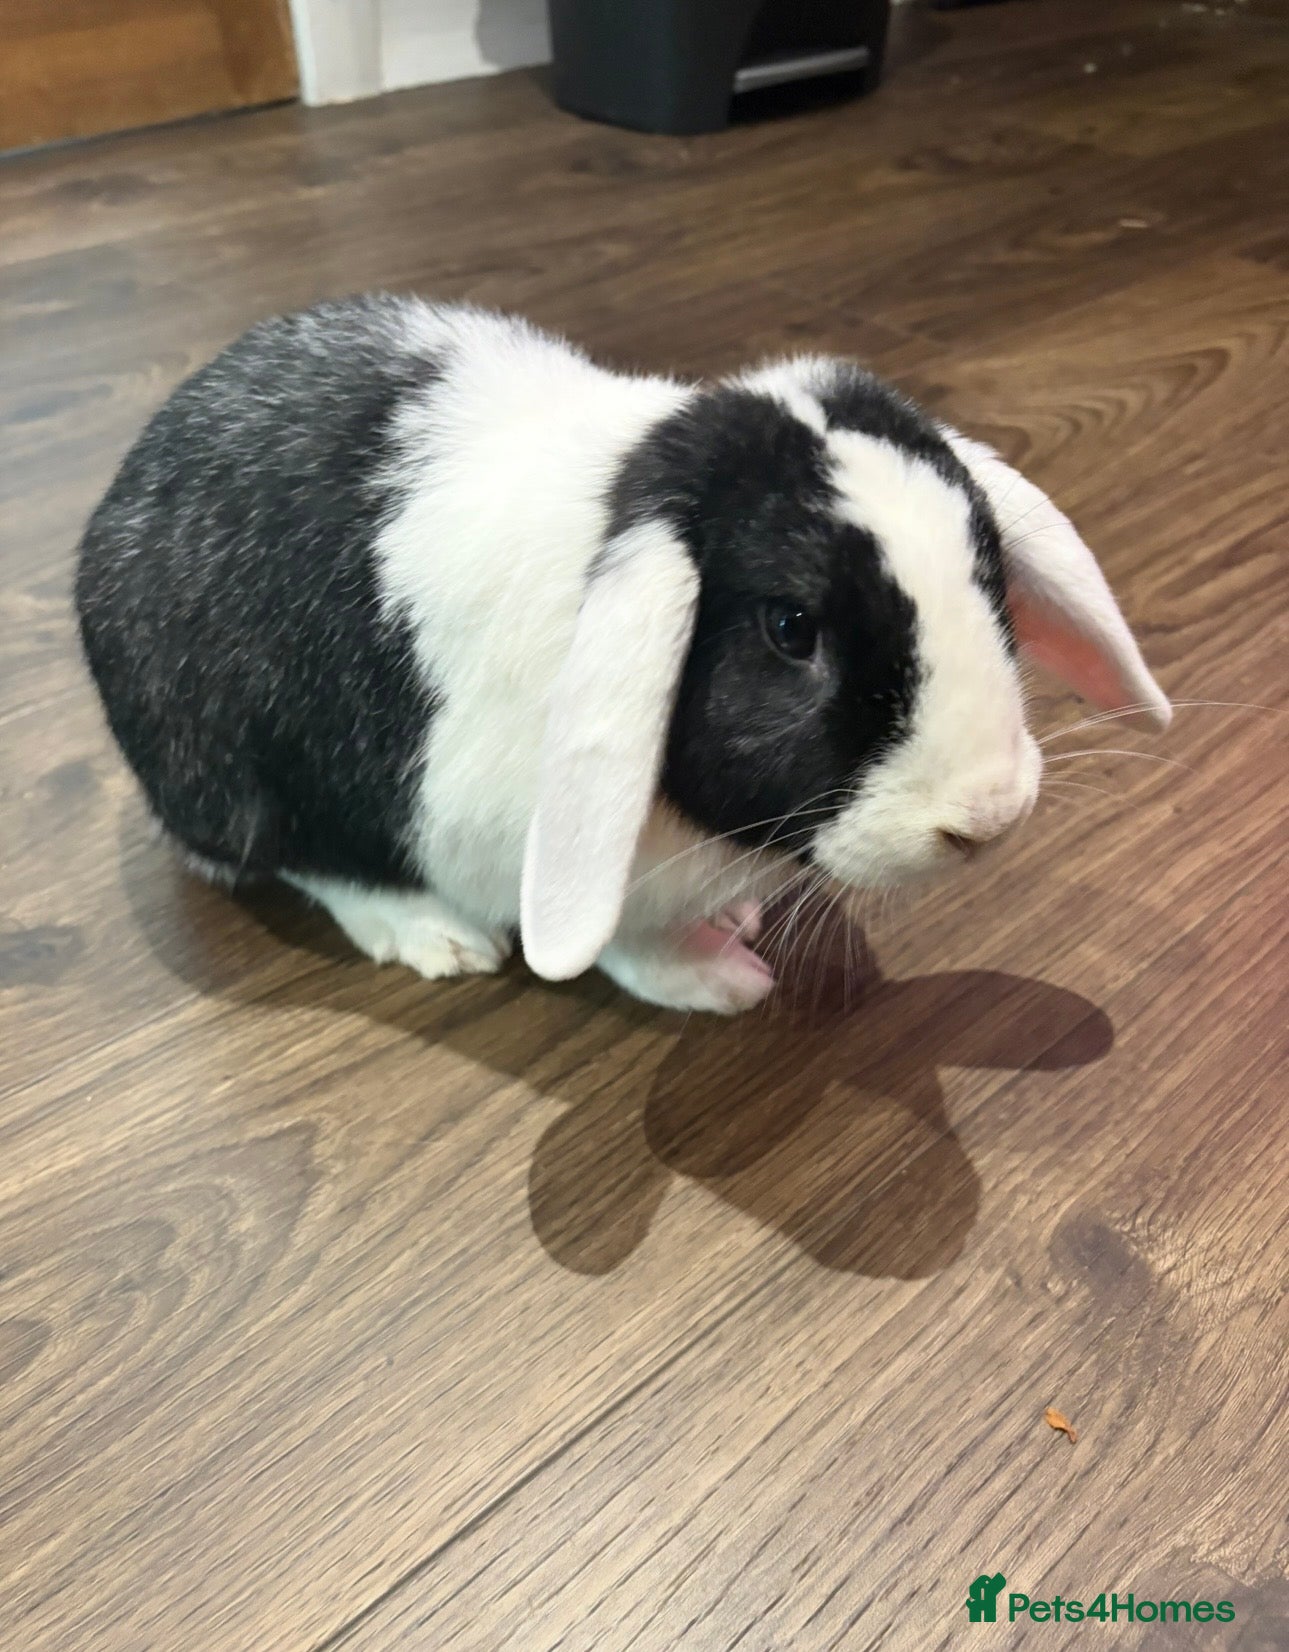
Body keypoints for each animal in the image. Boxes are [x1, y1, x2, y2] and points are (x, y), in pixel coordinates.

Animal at [75, 295, 1171, 1014]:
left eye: (988, 570)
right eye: (790, 629)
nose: (986, 819)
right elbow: (619, 943)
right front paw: (724, 981)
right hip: (232, 772)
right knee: (294, 854)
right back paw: (431, 934)